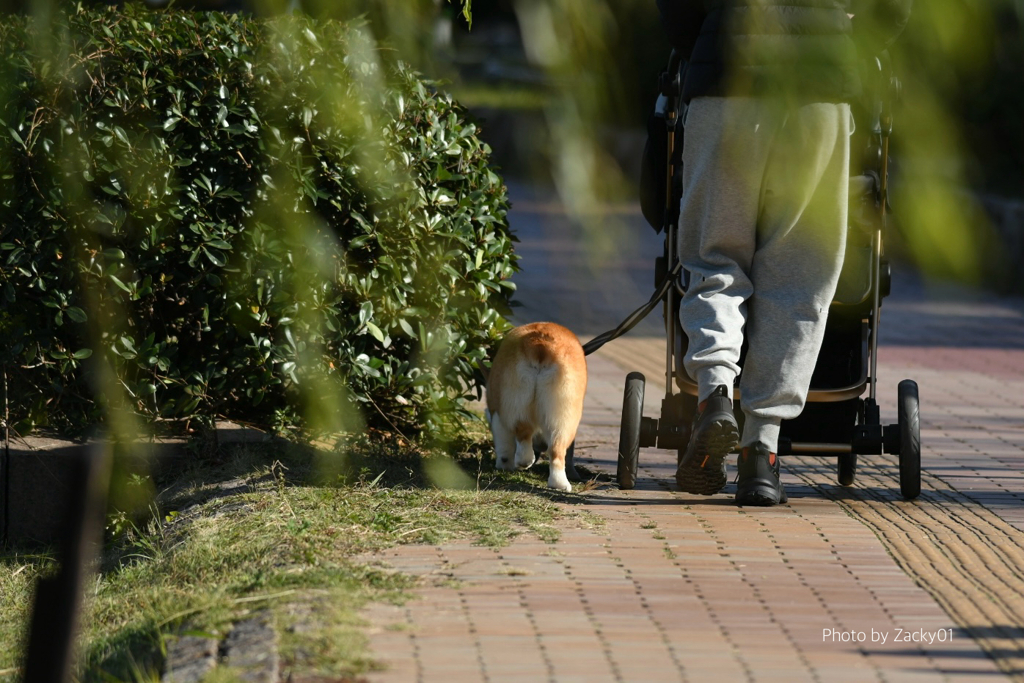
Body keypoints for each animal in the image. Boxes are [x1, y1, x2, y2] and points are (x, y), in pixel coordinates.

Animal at [485, 321, 589, 491]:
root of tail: (541, 342)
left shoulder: (498, 415)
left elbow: (504, 445)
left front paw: (503, 465)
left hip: (515, 399)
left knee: (523, 432)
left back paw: (522, 461)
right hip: (565, 413)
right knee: (556, 450)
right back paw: (559, 484)